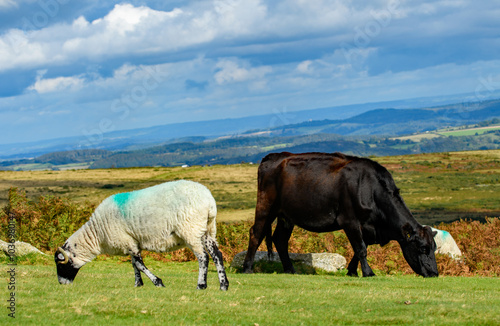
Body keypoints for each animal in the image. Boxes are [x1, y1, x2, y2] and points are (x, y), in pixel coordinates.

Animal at [53, 181, 229, 290]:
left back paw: (201, 285)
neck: (96, 234)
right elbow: (134, 264)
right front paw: (138, 284)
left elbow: (139, 264)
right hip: (207, 229)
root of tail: (209, 201)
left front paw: (158, 282)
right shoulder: (131, 242)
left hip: (191, 230)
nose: (62, 283)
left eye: (60, 264)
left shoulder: (127, 242)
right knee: (217, 255)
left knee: (203, 257)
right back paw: (223, 285)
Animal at [242, 153, 438, 278]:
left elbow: (360, 249)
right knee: (256, 233)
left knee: (280, 239)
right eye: (422, 248)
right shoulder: (350, 220)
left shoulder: (366, 226)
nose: (434, 273)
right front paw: (369, 273)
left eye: (434, 248)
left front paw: (352, 271)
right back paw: (247, 268)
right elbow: (361, 249)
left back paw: (290, 270)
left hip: (287, 216)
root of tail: (273, 156)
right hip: (266, 207)